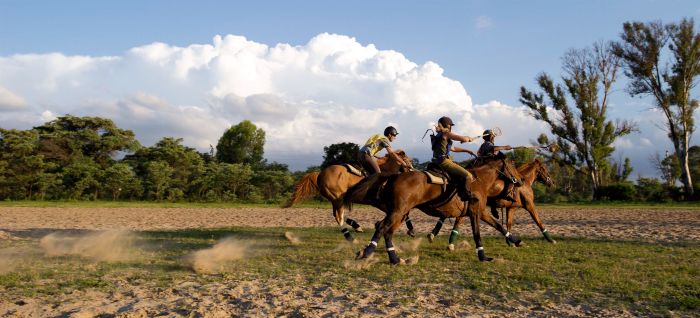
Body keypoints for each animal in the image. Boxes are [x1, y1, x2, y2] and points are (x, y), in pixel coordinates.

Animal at [284, 150, 416, 242]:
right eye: (408, 160)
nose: (412, 171)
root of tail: (320, 173)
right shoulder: (381, 203)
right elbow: (404, 214)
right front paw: (411, 230)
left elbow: (404, 214)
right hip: (338, 199)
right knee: (339, 217)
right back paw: (350, 237)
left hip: (336, 200)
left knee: (338, 215)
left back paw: (356, 226)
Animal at [348, 157, 524, 264]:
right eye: (513, 166)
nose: (521, 181)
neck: (478, 180)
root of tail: (394, 176)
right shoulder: (475, 213)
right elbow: (477, 234)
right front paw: (482, 256)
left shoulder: (481, 212)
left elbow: (498, 226)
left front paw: (516, 241)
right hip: (398, 212)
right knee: (382, 228)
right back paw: (368, 252)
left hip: (400, 213)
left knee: (386, 230)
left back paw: (395, 259)